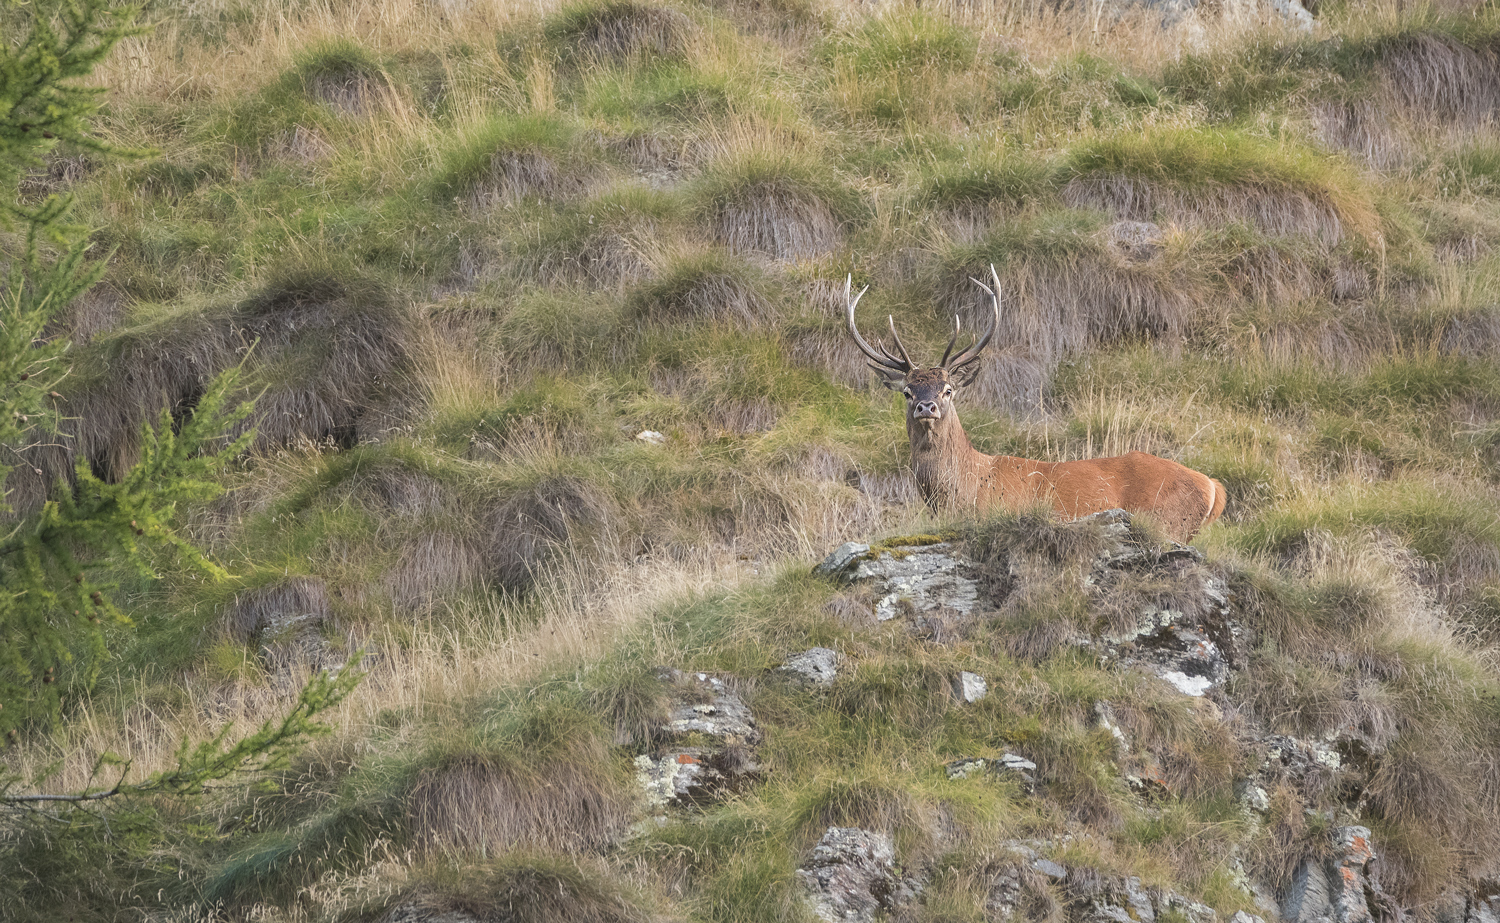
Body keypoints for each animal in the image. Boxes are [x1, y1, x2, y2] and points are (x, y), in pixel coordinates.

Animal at [846, 266, 1226, 543]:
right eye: (908, 391)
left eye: (948, 389)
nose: (926, 407)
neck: (965, 489)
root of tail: (1213, 487)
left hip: (1169, 524)